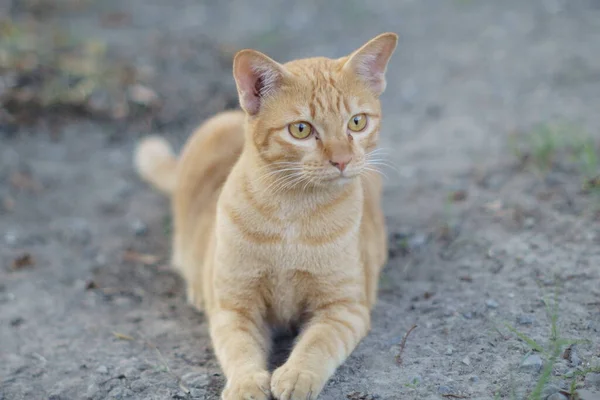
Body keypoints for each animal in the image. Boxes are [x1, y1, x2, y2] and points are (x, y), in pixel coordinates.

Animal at [136, 32, 398, 398]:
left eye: (357, 122)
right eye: (301, 129)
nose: (343, 160)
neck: (293, 214)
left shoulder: (344, 308)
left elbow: (317, 343)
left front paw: (296, 376)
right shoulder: (236, 309)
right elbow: (240, 350)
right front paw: (246, 384)